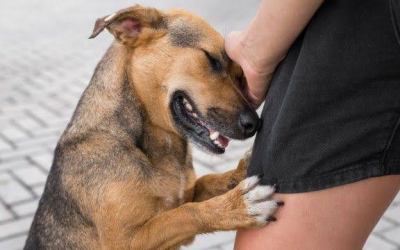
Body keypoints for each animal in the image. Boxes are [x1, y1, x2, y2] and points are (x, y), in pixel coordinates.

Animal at [24, 4, 282, 250]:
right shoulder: (126, 241)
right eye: (211, 59)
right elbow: (184, 214)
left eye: (240, 75)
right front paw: (237, 206)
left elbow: (207, 182)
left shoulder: (185, 194)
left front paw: (238, 173)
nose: (254, 124)